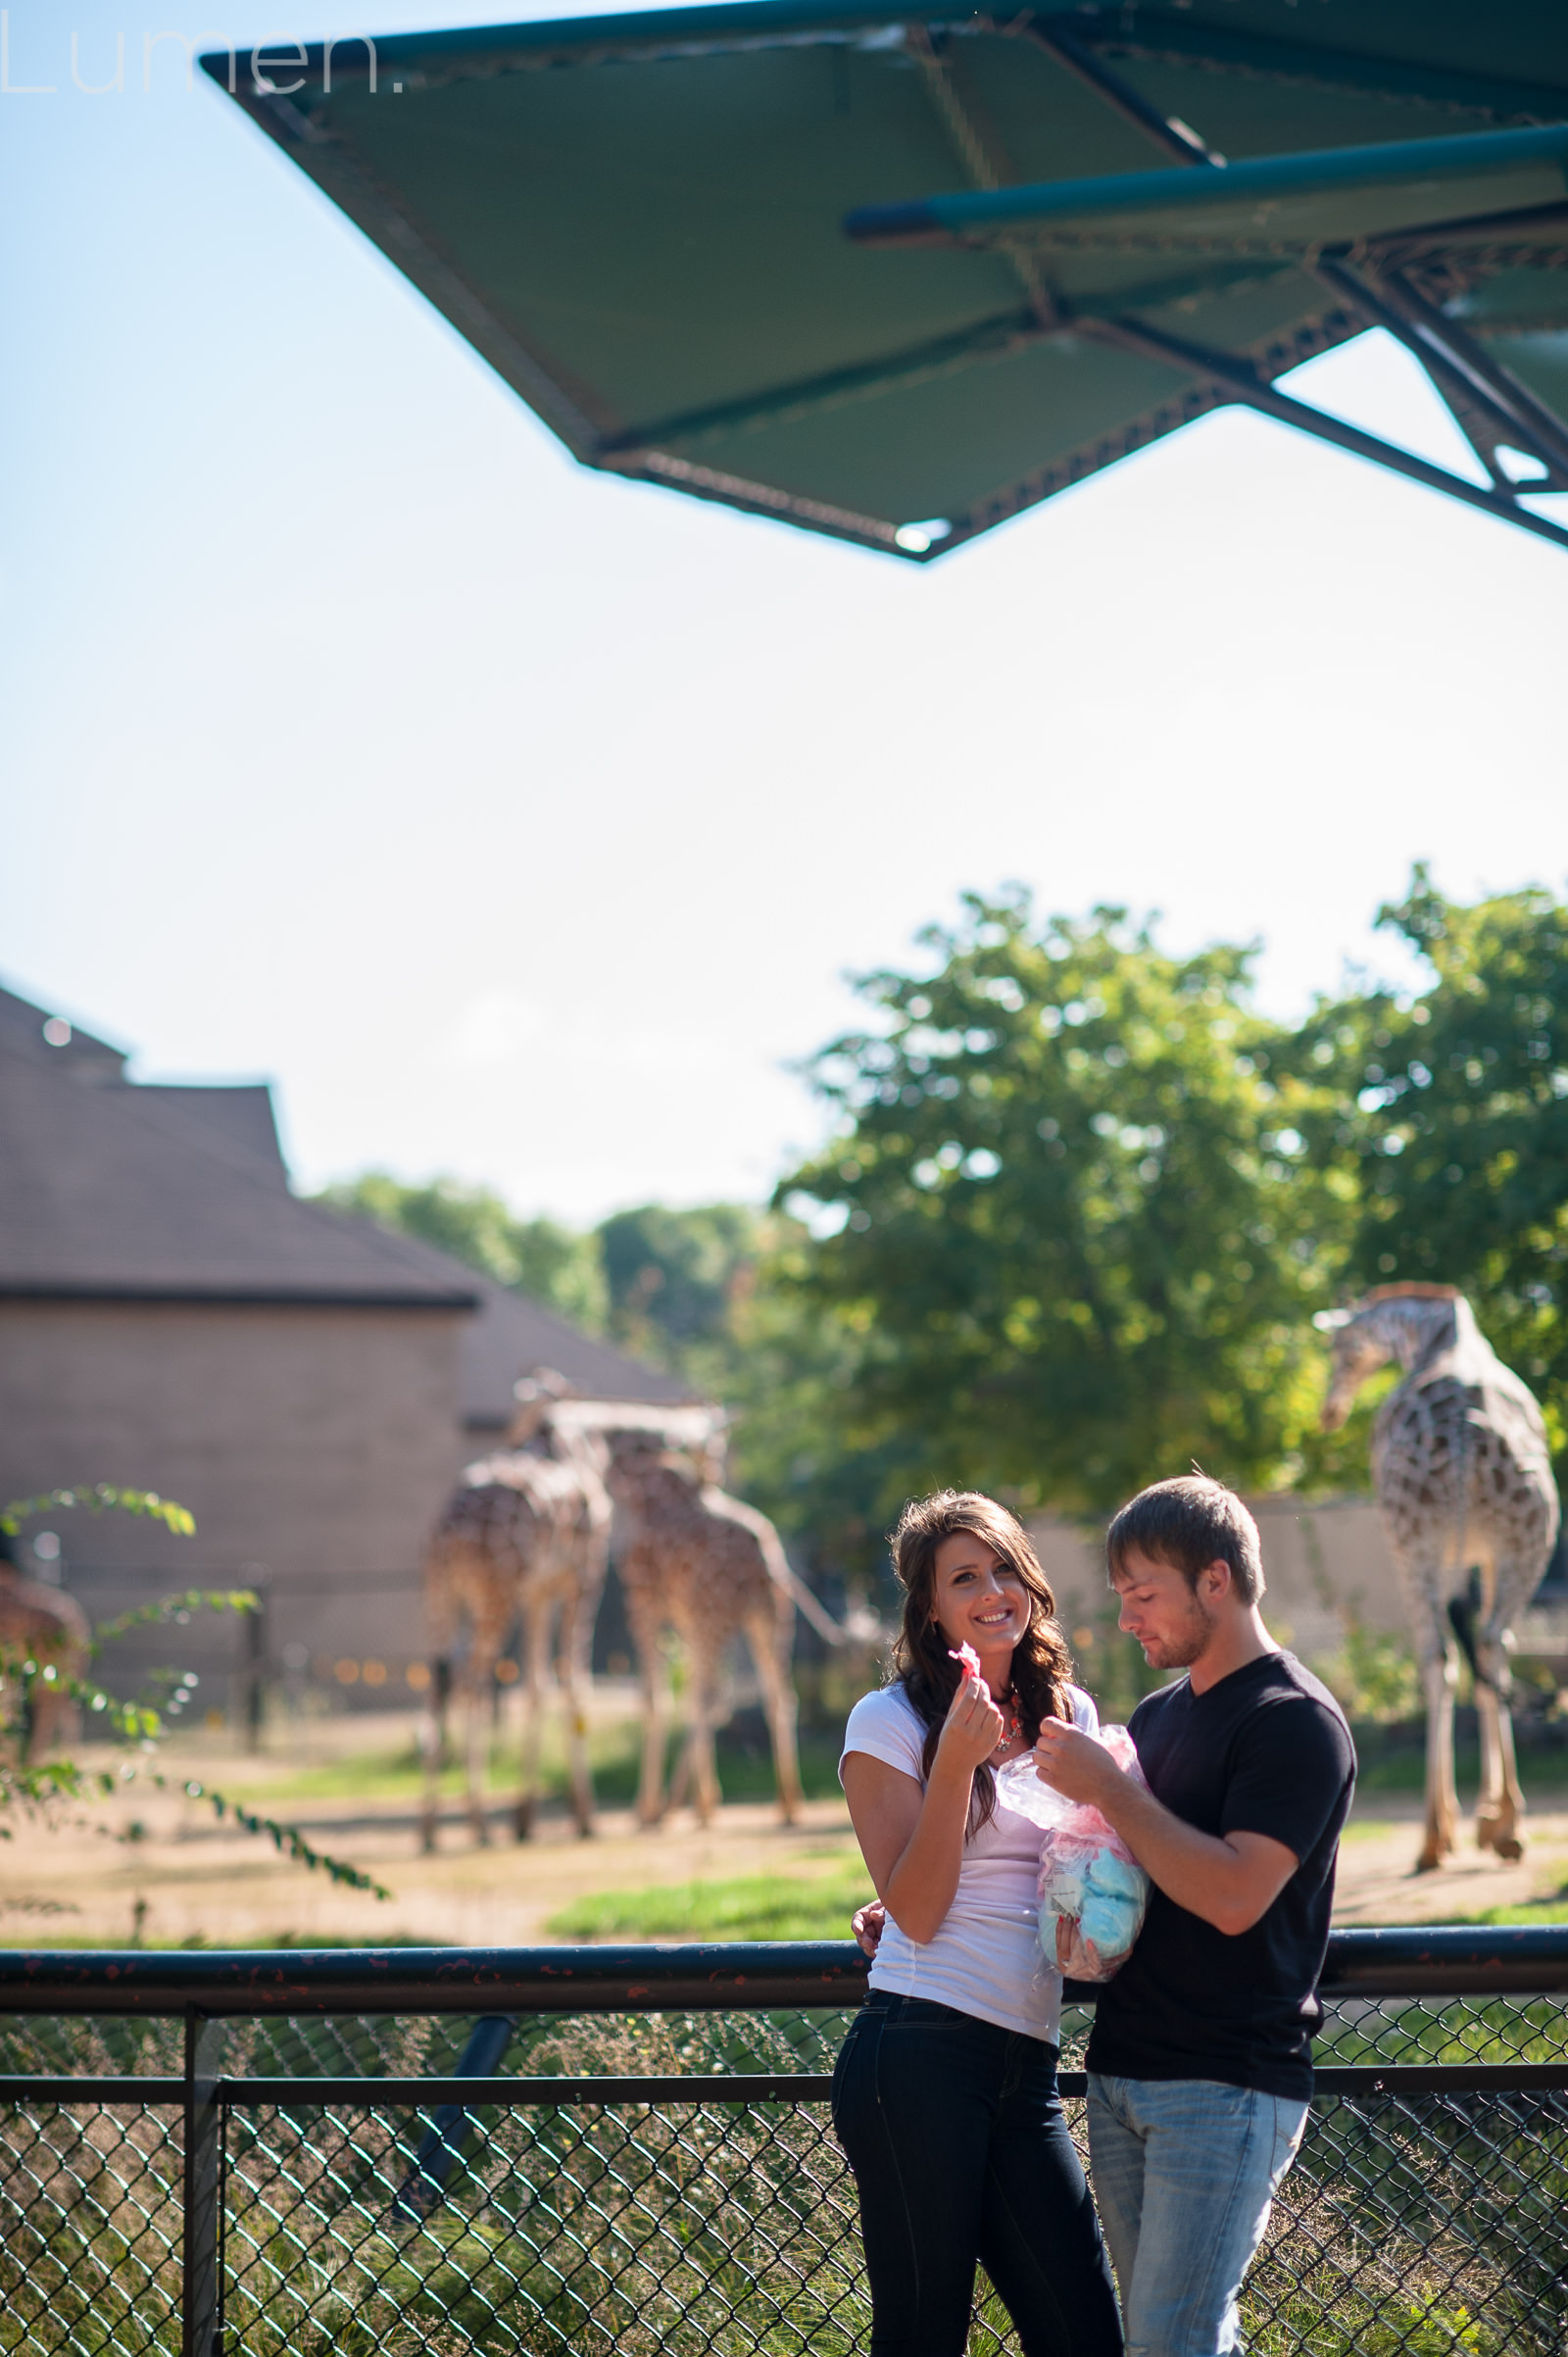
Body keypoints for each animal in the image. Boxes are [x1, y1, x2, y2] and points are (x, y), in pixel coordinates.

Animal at [415, 1376, 612, 1847]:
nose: (508, 1434)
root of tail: (448, 1529)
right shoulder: (585, 1576)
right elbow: (574, 1681)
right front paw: (585, 1817)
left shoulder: (540, 1592)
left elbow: (538, 1686)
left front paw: (526, 1818)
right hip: (495, 1597)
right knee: (471, 1682)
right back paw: (477, 1823)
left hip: (440, 1597)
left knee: (439, 1682)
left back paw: (430, 1827)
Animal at [1310, 1291, 1555, 1876]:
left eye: (1339, 1349)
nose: (1329, 1411)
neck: (1434, 1335)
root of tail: (1467, 1435)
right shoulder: (1476, 1554)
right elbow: (1487, 1653)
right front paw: (1491, 1820)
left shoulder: (1444, 1553)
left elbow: (1452, 1658)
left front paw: (1469, 1823)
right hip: (1528, 1538)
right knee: (1491, 1642)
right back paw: (1507, 1825)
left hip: (1411, 1542)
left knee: (1439, 1655)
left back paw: (1432, 1838)